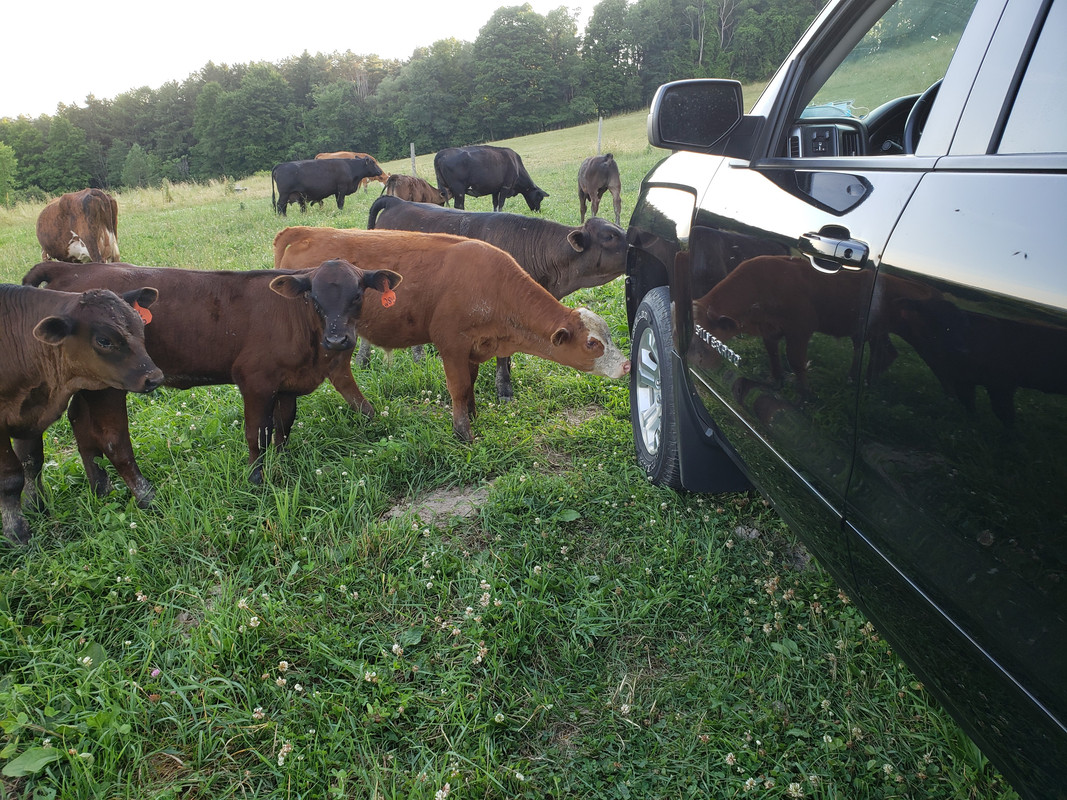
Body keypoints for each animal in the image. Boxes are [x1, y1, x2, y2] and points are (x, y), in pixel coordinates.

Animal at [0, 283, 162, 545]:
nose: (154, 377)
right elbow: (10, 478)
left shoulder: (31, 415)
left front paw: (36, 507)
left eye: (140, 325)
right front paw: (17, 533)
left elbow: (31, 463)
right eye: (104, 340)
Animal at [22, 259, 402, 505]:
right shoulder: (255, 380)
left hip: (90, 386)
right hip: (111, 386)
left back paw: (100, 488)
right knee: (112, 437)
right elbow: (256, 433)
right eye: (315, 298)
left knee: (79, 423)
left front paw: (280, 463)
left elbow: (283, 425)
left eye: (357, 295)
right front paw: (255, 479)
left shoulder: (286, 382)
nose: (338, 340)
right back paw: (145, 496)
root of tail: (69, 267)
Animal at [272, 226, 630, 441]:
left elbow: (470, 384)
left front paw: (473, 414)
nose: (627, 365)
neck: (493, 287)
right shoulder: (451, 345)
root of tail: (306, 231)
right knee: (338, 373)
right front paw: (462, 432)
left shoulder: (476, 346)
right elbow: (458, 388)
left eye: (610, 336)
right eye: (592, 343)